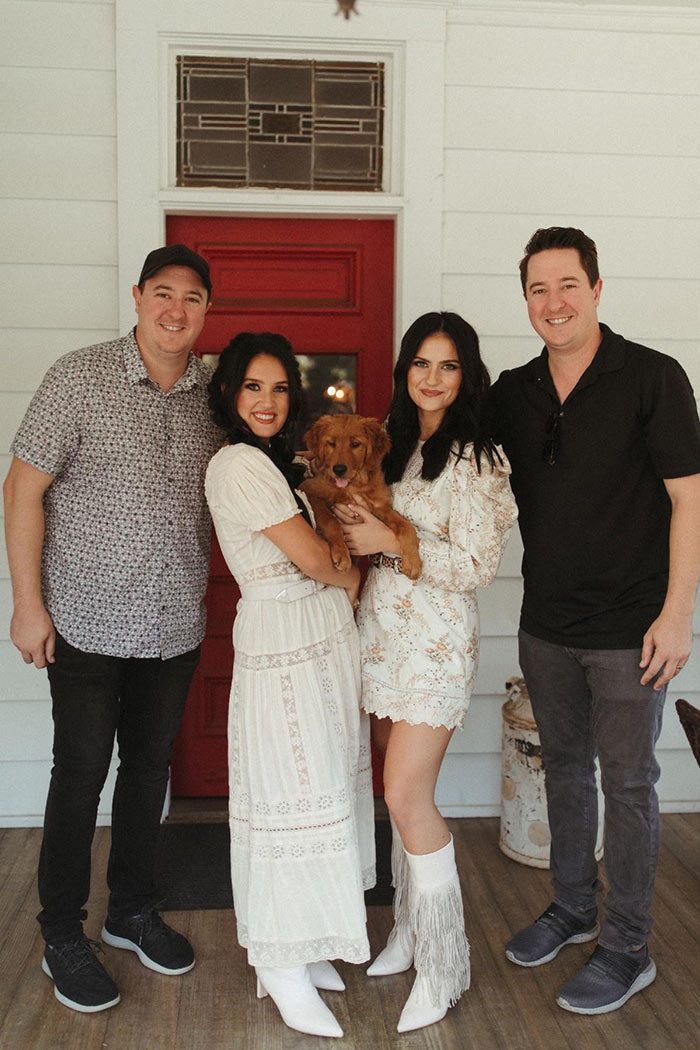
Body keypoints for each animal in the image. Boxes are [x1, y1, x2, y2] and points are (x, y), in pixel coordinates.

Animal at [302, 409, 421, 579]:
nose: (339, 469)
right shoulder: (309, 490)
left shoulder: (380, 507)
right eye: (331, 443)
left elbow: (405, 525)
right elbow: (331, 521)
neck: (354, 485)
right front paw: (342, 554)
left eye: (355, 444)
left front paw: (413, 562)